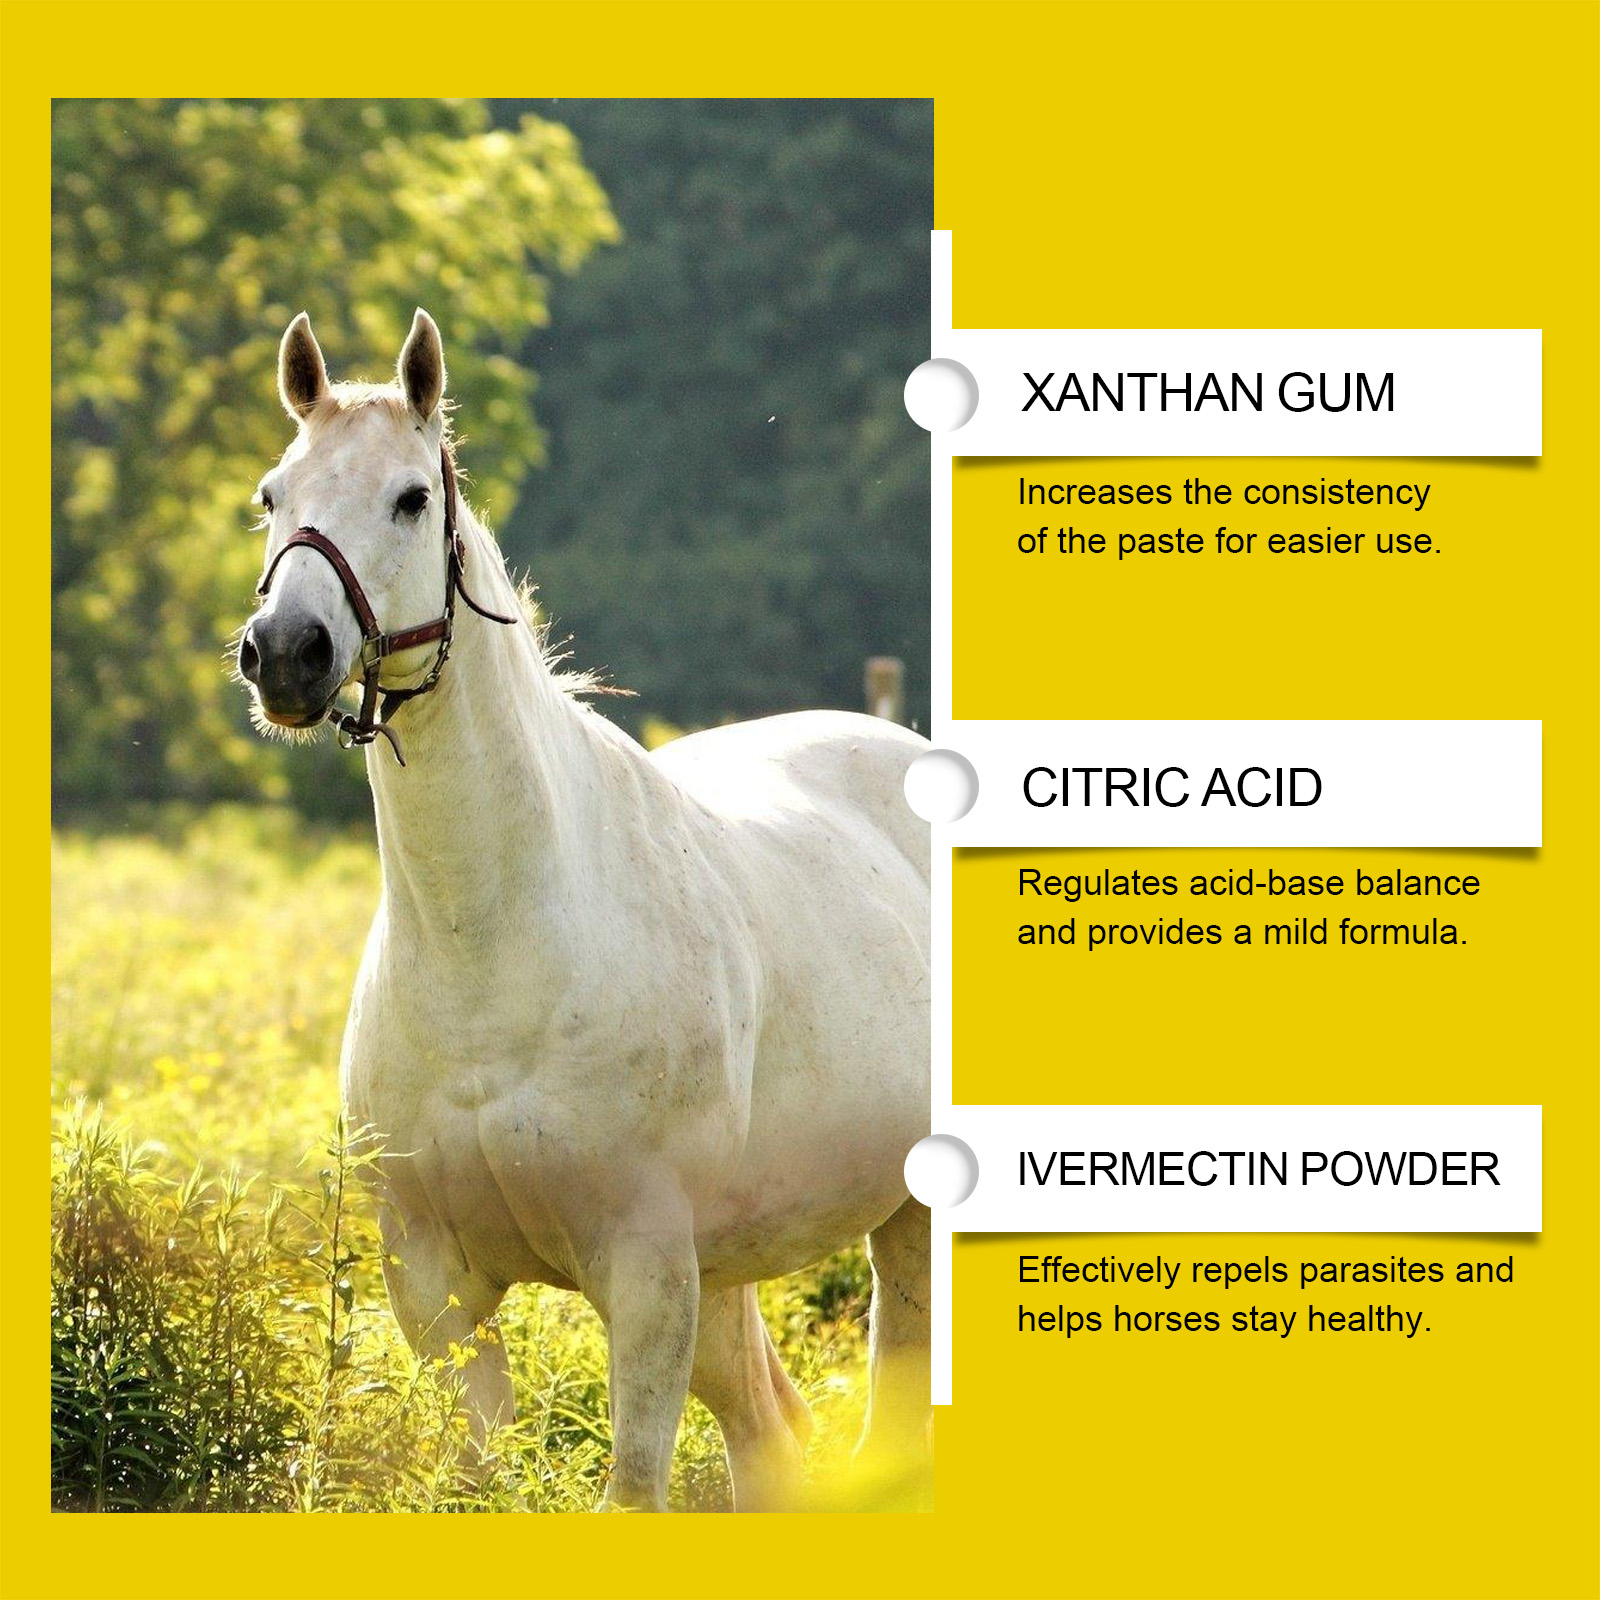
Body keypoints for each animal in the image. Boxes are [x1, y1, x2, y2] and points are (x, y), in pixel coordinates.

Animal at [236, 309, 931, 1511]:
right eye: (275, 494)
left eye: (410, 497)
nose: (286, 654)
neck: (494, 951)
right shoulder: (436, 1286)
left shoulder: (646, 1273)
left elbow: (634, 1488)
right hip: (731, 1270)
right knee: (767, 1439)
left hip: (905, 1222)